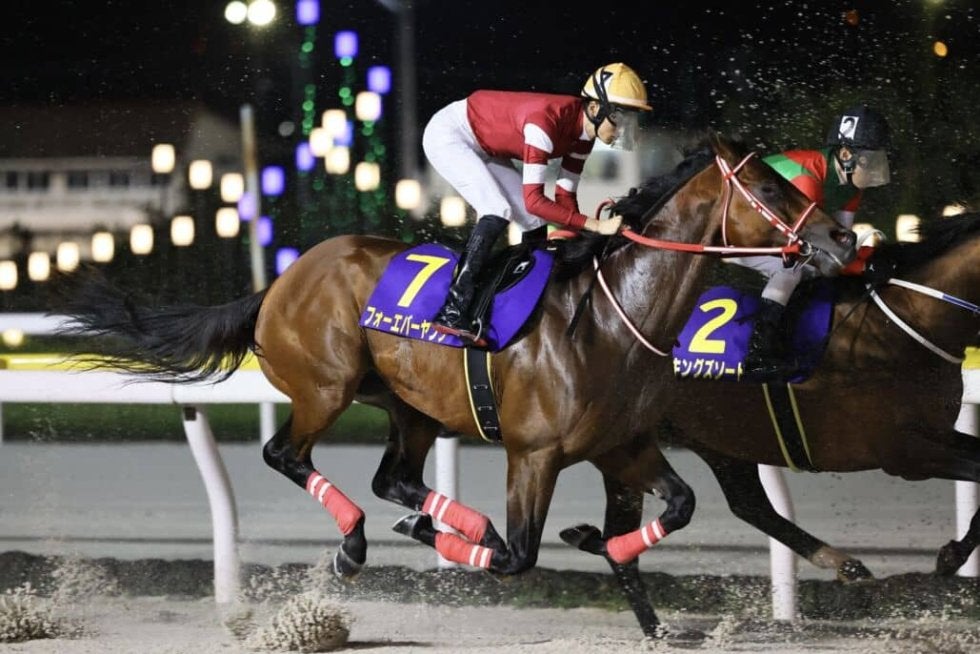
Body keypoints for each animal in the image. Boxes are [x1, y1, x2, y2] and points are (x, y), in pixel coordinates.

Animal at [50, 133, 857, 637]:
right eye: (768, 184)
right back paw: (358, 544)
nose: (842, 237)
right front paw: (544, 541)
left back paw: (433, 523)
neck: (611, 319)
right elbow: (521, 556)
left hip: (409, 408)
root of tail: (278, 281)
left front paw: (600, 547)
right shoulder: (534, 454)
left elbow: (682, 505)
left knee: (393, 478)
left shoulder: (621, 445)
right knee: (288, 456)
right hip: (326, 387)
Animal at [564, 212, 980, 583]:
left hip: (719, 438)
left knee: (748, 504)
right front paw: (950, 556)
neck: (907, 323)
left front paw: (952, 555)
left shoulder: (937, 433)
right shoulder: (904, 452)